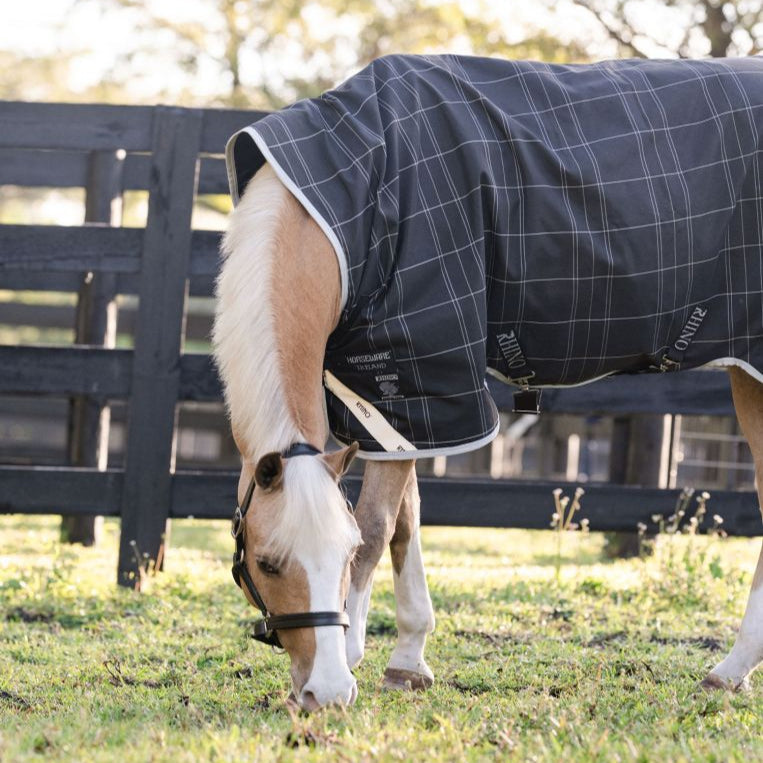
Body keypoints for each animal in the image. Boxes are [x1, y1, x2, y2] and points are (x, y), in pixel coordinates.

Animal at [213, 55, 763, 710]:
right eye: (268, 564)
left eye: (340, 557)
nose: (325, 693)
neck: (352, 201)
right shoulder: (394, 402)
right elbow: (406, 523)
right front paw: (408, 661)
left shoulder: (423, 373)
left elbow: (377, 527)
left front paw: (355, 653)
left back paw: (731, 669)